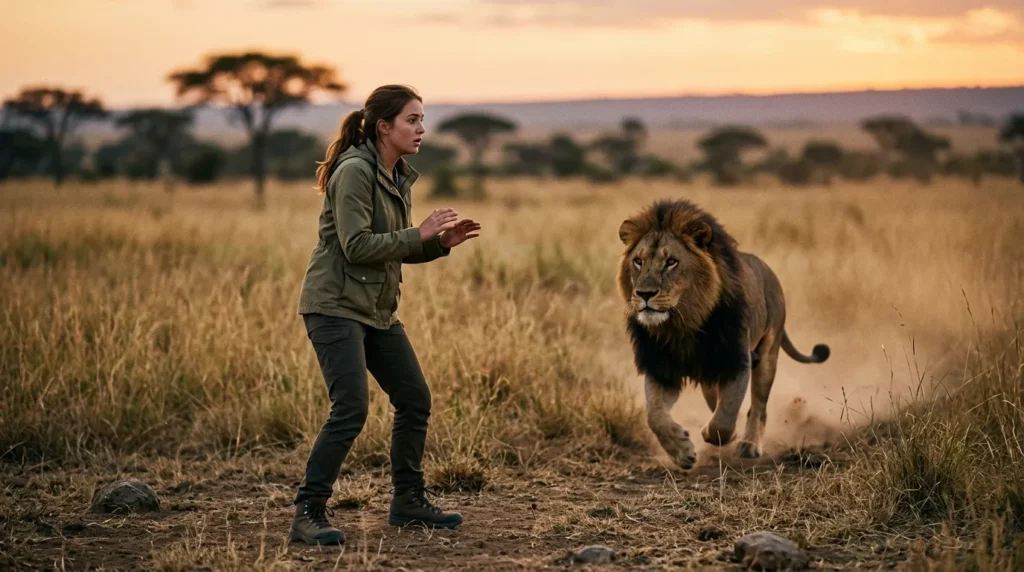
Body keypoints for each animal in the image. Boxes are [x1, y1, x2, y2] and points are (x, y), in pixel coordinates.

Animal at [617, 199, 829, 469]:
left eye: (671, 262)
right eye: (638, 261)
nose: (644, 293)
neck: (682, 324)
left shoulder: (737, 360)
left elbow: (725, 417)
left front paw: (718, 434)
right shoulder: (662, 369)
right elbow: (655, 416)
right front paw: (682, 450)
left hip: (768, 354)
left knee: (758, 406)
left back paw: (749, 444)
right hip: (710, 377)